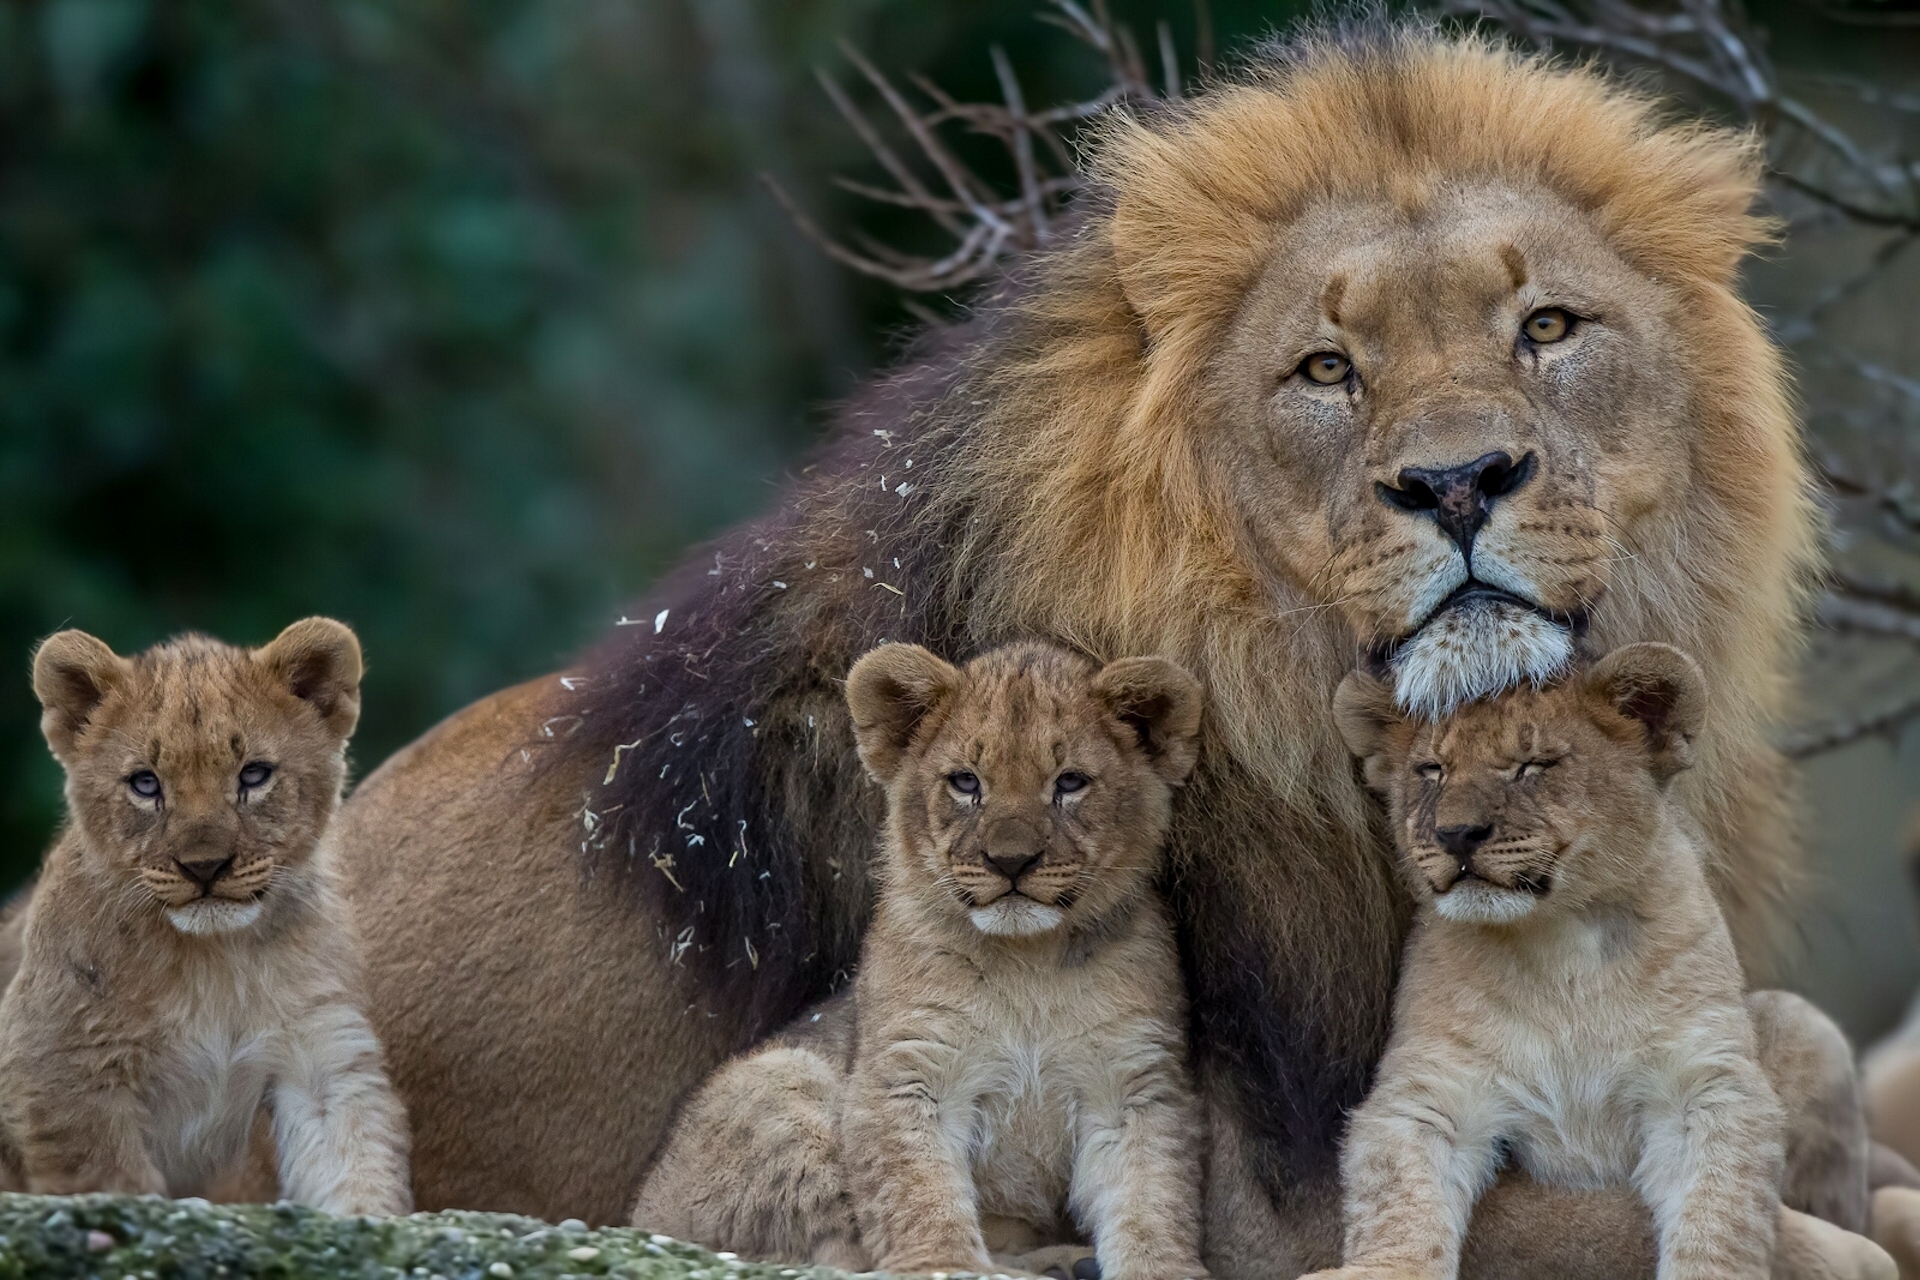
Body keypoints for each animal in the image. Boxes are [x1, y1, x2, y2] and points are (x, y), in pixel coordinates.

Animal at [1, 625, 408, 1220]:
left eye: (254, 775)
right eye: (145, 783)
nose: (204, 867)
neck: (215, 958)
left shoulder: (320, 1047)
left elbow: (355, 1163)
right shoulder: (61, 1066)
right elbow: (112, 1176)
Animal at [637, 640, 1205, 1280]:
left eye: (1070, 782)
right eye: (965, 781)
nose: (1011, 861)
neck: (1029, 963)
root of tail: (641, 1214)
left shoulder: (1134, 1083)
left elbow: (1151, 1196)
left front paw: (1162, 1268)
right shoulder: (906, 1071)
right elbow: (915, 1190)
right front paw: (943, 1263)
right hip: (781, 1077)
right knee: (832, 1251)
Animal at [1320, 652, 1889, 1280]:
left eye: (1532, 766)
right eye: (1431, 770)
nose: (1456, 834)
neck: (1558, 943)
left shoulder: (1703, 1083)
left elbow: (1719, 1212)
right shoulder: (1430, 1093)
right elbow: (1398, 1200)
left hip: (1804, 1026)